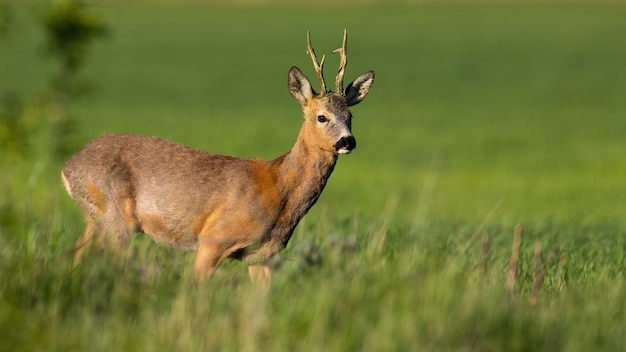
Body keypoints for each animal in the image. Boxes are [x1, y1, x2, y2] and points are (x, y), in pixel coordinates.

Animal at [62, 30, 376, 286]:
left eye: (350, 116)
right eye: (322, 117)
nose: (347, 141)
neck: (278, 188)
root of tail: (68, 166)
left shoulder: (262, 256)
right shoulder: (213, 238)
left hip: (96, 220)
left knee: (71, 257)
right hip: (116, 220)